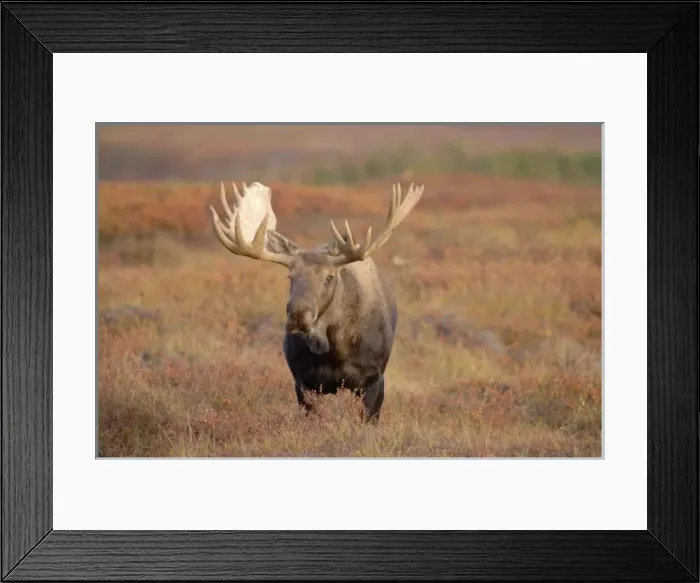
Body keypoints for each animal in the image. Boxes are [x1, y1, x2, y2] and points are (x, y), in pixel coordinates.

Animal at [209, 181, 424, 424]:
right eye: (290, 276)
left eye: (329, 277)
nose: (297, 315)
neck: (335, 351)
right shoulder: (303, 382)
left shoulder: (374, 379)